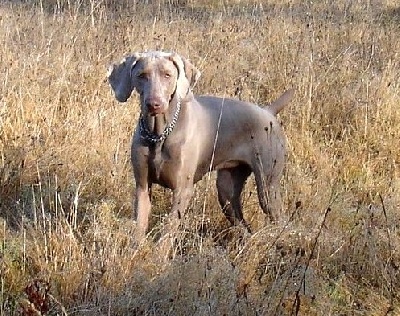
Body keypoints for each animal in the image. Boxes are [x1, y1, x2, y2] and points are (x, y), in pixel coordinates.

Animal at [108, 51, 294, 239]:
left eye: (167, 75)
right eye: (141, 75)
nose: (154, 104)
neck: (159, 135)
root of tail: (268, 111)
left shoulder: (182, 190)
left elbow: (168, 230)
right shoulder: (142, 186)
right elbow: (139, 227)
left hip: (267, 187)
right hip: (227, 191)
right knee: (243, 226)